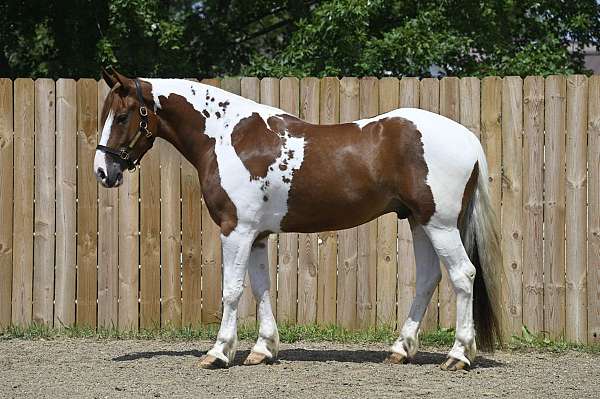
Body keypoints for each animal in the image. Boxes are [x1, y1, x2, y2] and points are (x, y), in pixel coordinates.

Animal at [95, 68, 502, 372]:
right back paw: (401, 350)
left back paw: (458, 356)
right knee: (429, 278)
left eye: (122, 115)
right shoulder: (257, 235)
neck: (228, 137)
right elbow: (260, 288)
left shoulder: (235, 230)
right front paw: (262, 349)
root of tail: (467, 138)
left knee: (463, 275)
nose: (103, 171)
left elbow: (232, 290)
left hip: (440, 224)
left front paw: (219, 352)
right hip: (419, 222)